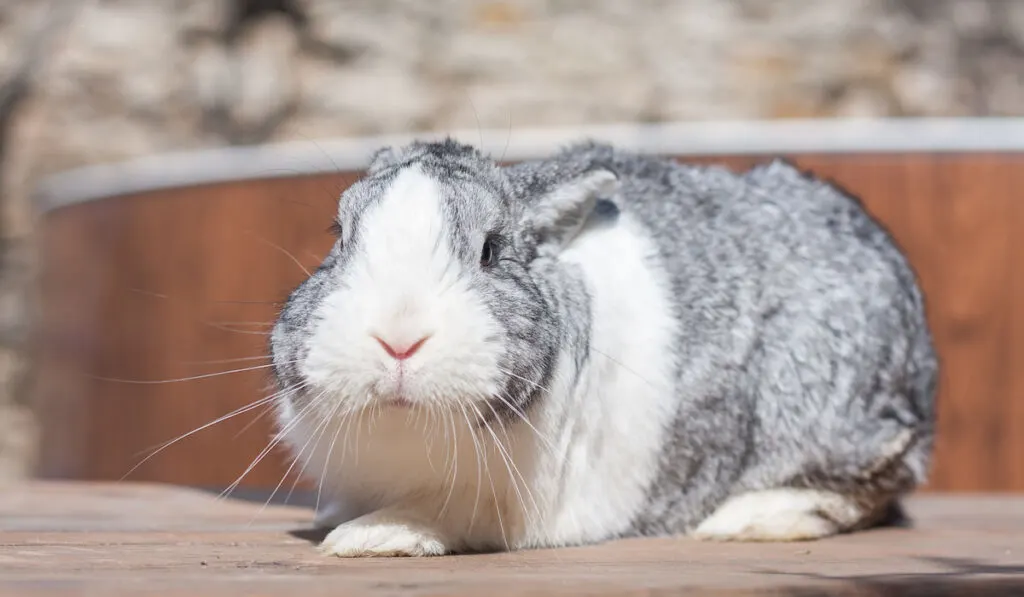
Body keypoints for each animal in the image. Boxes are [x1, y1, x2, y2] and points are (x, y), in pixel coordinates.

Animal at [268, 138, 937, 557]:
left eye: (491, 250)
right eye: (339, 235)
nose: (398, 340)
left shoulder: (511, 503)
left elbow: (439, 514)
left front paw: (367, 538)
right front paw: (337, 522)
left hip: (848, 426)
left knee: (866, 491)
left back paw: (743, 521)